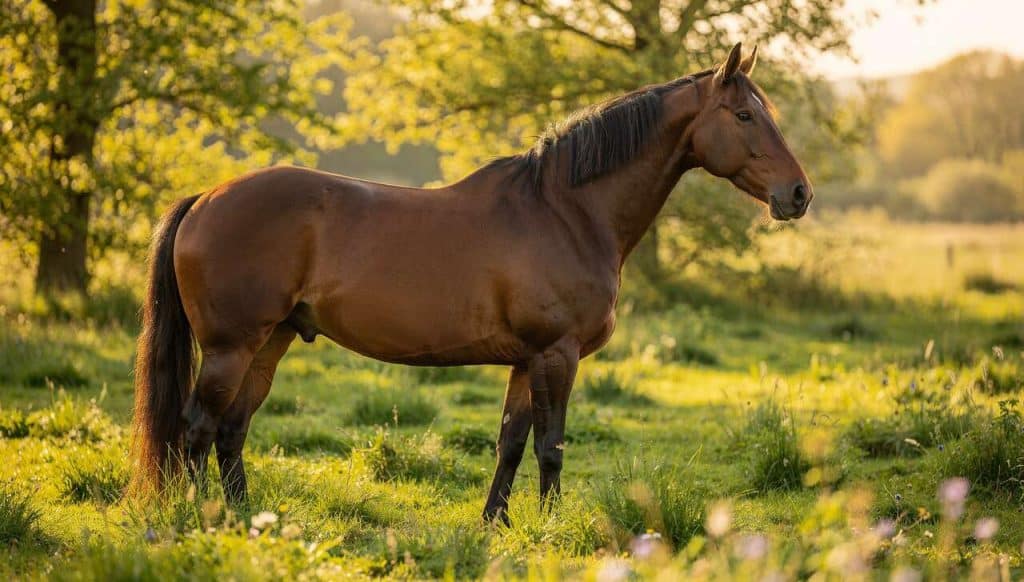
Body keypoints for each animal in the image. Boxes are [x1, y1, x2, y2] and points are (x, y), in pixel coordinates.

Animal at [131, 43, 812, 521]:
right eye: (744, 115)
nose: (798, 194)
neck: (565, 210)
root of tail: (206, 198)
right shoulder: (558, 354)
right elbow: (551, 445)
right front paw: (551, 528)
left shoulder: (526, 360)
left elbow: (510, 441)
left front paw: (496, 523)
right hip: (231, 348)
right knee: (196, 429)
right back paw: (201, 517)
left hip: (269, 343)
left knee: (230, 430)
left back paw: (245, 517)